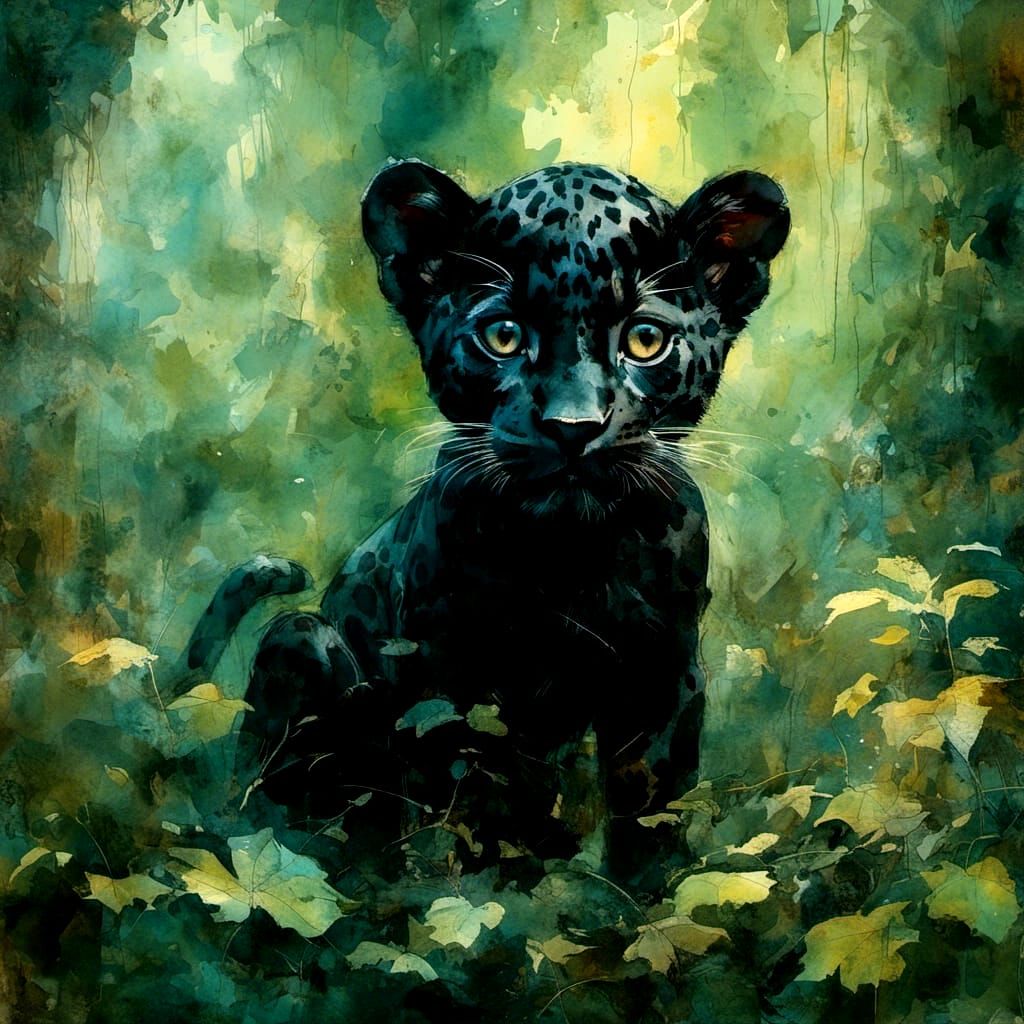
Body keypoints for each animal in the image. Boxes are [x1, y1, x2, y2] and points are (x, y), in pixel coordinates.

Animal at [176, 159, 790, 864]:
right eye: (503, 335)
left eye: (645, 340)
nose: (573, 427)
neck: (572, 557)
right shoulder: (454, 683)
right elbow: (480, 803)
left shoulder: (662, 674)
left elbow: (651, 809)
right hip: (303, 643)